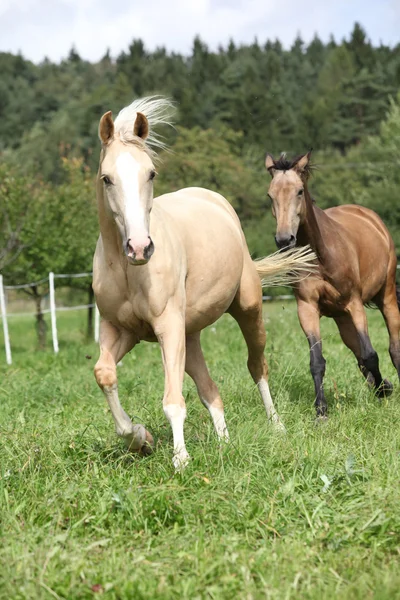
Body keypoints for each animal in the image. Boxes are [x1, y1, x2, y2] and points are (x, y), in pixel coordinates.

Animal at [91, 96, 316, 468]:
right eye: (106, 178)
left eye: (150, 173)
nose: (140, 247)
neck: (128, 270)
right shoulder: (120, 330)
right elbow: (104, 374)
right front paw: (140, 438)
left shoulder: (167, 327)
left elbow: (172, 399)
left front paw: (180, 459)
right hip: (190, 336)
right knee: (211, 391)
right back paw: (224, 444)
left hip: (247, 310)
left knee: (257, 366)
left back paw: (276, 426)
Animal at [264, 152, 398, 420]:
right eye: (270, 195)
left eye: (299, 191)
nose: (284, 240)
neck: (322, 256)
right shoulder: (307, 308)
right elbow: (317, 361)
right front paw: (321, 412)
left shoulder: (354, 304)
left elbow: (371, 355)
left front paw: (383, 390)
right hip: (342, 319)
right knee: (357, 353)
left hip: (386, 296)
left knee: (393, 347)